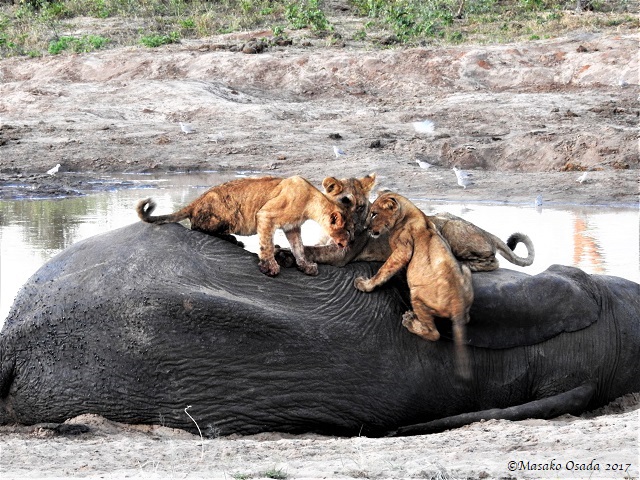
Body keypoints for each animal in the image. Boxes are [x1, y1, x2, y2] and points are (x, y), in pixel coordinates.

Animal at [136, 176, 352, 277]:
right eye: (348, 231)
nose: (350, 243)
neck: (311, 200)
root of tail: (196, 200)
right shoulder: (265, 215)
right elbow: (266, 244)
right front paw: (270, 267)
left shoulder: (292, 228)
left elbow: (298, 247)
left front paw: (306, 266)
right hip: (228, 214)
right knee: (197, 227)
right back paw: (234, 240)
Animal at [279, 175, 534, 272]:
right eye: (345, 202)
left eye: (361, 207)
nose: (355, 228)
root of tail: (486, 232)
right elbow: (308, 246)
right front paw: (285, 254)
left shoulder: (341, 255)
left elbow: (311, 250)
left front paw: (284, 254)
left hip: (447, 226)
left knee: (493, 262)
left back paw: (463, 263)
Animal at [353, 191, 473, 378]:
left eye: (374, 214)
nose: (366, 227)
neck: (411, 212)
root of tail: (457, 304)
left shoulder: (403, 249)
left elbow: (384, 270)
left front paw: (366, 285)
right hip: (465, 272)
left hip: (416, 294)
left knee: (434, 333)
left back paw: (410, 320)